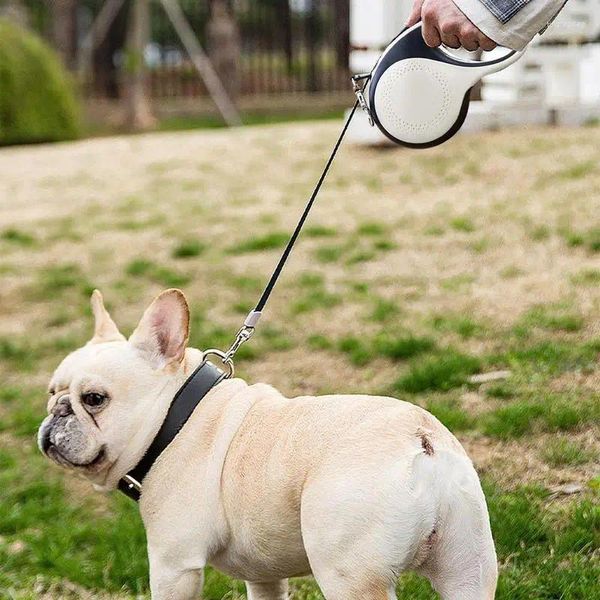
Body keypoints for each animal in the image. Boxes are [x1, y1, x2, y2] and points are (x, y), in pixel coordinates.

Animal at [37, 288, 496, 596]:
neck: (175, 417)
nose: (57, 411)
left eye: (94, 399)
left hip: (350, 574)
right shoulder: (263, 575)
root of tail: (421, 440)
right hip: (469, 569)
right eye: (51, 390)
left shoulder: (173, 565)